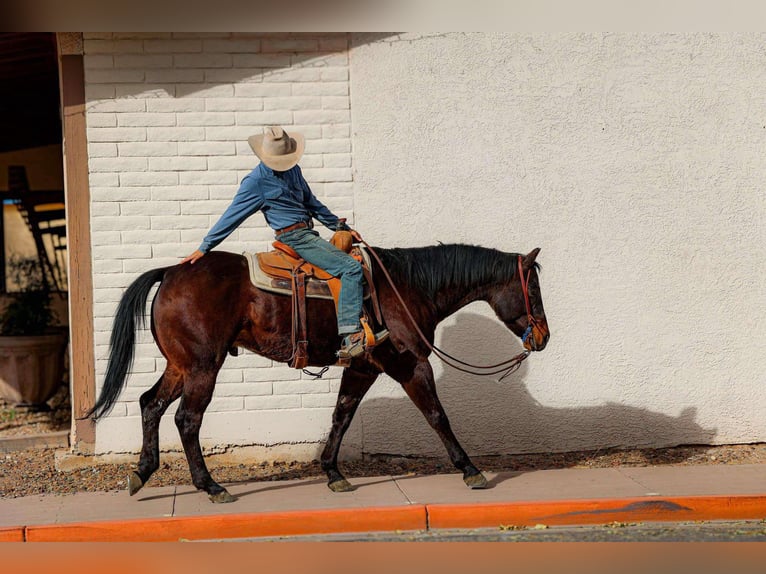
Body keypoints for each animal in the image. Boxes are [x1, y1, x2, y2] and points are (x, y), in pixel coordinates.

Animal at [87, 243, 549, 503]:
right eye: (534, 288)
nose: (544, 336)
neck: (405, 286)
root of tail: (171, 272)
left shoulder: (363, 367)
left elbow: (341, 415)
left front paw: (332, 472)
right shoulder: (409, 364)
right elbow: (438, 415)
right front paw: (470, 469)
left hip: (180, 365)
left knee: (151, 404)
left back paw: (142, 473)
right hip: (203, 366)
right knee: (187, 419)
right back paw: (211, 486)